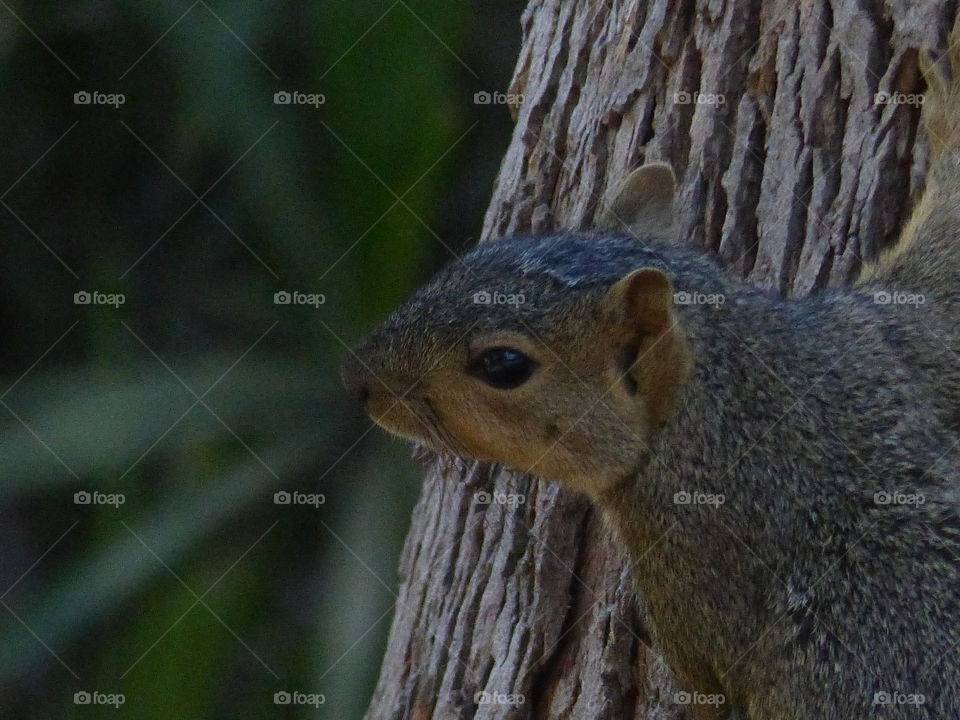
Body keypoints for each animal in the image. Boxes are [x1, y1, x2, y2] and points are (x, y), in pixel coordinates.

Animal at [344, 18, 960, 720]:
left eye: (503, 364)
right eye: (483, 251)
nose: (357, 376)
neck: (742, 392)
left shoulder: (689, 573)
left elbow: (711, 694)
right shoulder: (887, 337)